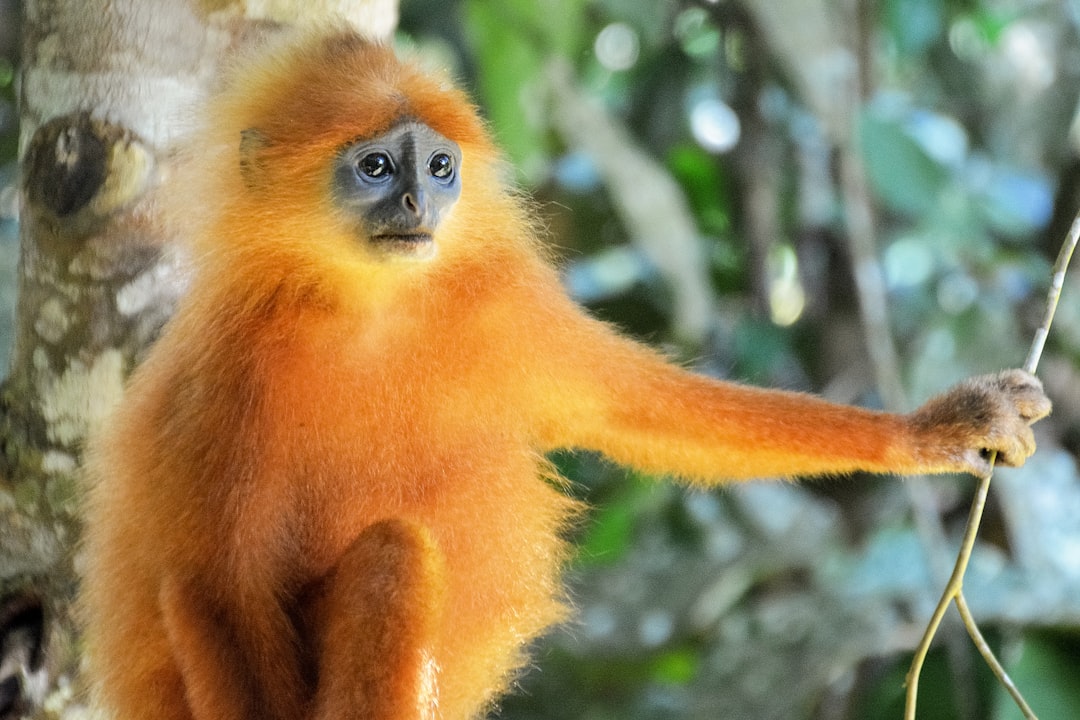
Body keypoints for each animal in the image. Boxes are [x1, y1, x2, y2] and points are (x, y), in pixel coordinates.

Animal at [78, 29, 1054, 720]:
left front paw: (938, 429)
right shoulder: (222, 372)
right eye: (376, 166)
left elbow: (642, 411)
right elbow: (212, 583)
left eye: (440, 167)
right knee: (376, 557)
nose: (418, 202)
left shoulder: (507, 314)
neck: (370, 308)